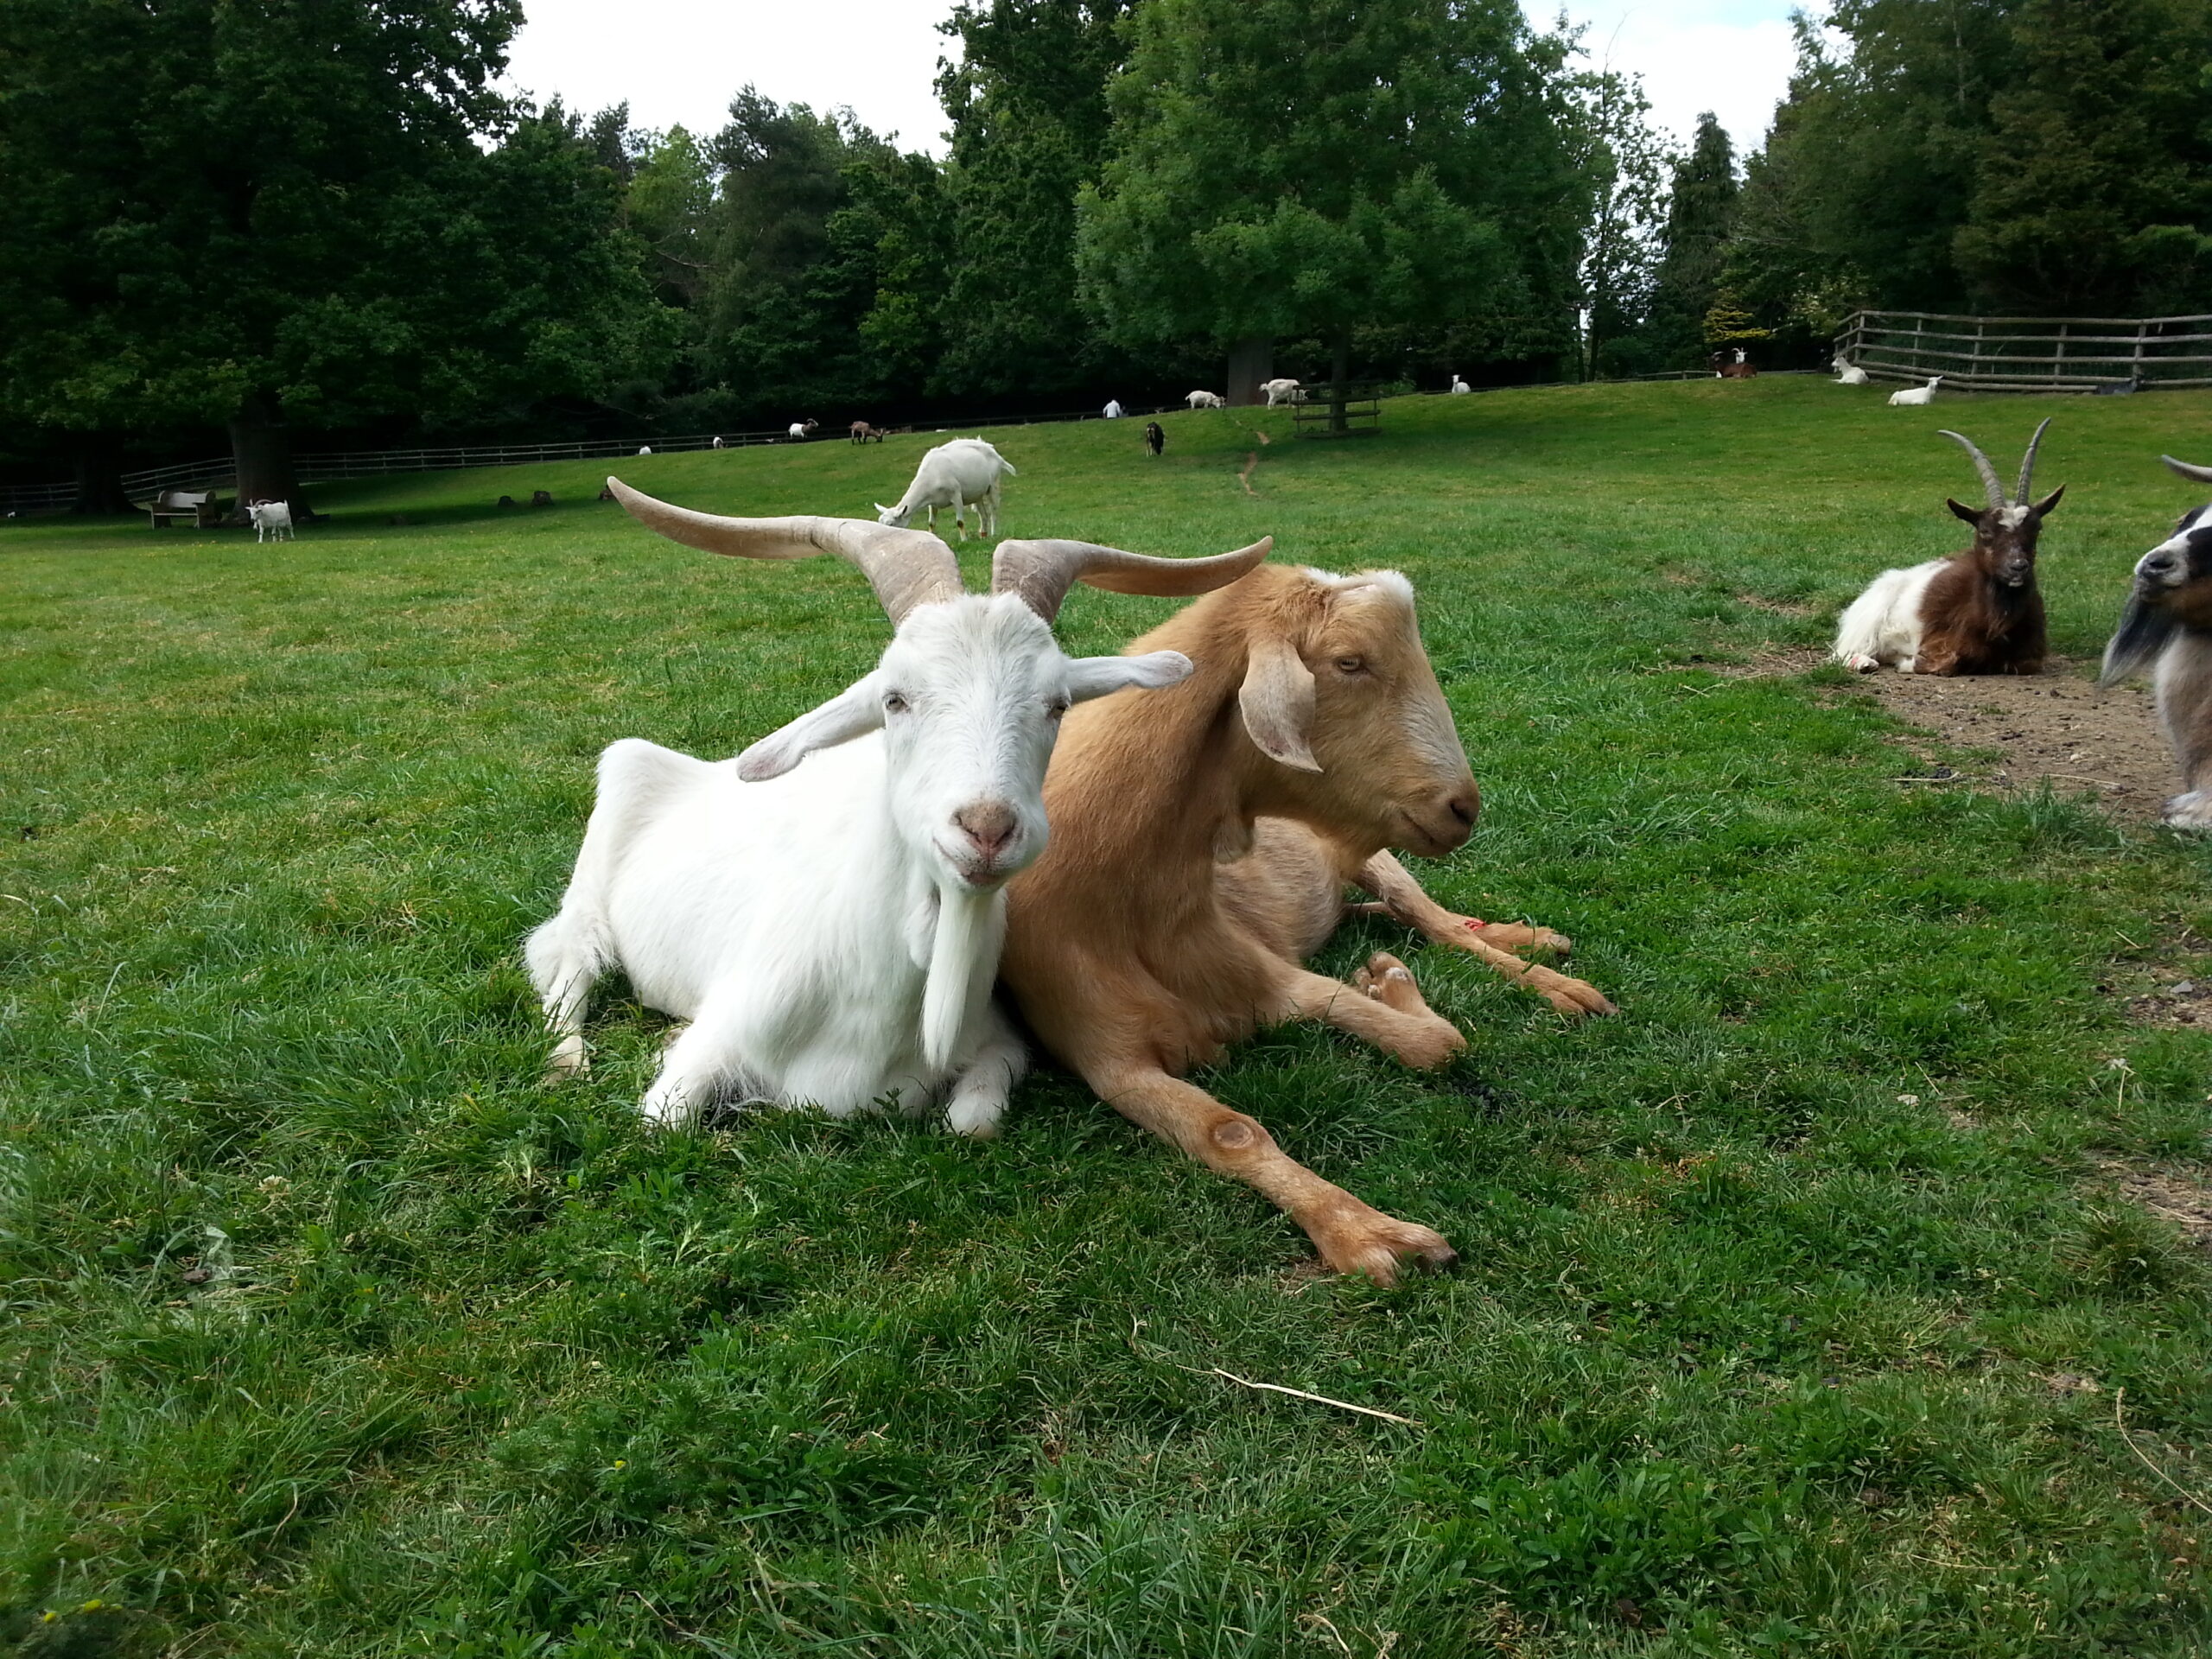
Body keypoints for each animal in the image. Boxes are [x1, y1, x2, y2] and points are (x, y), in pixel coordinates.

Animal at [524, 473, 1274, 1141]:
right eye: (895, 698)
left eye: (1058, 703)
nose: (987, 829)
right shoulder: (714, 1039)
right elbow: (664, 1123)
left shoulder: (997, 1042)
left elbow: (973, 1124)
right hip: (603, 847)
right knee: (566, 966)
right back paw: (566, 1061)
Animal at [880, 437, 1017, 542]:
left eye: (891, 524)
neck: (931, 475)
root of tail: (994, 452)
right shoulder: (932, 502)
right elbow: (931, 523)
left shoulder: (956, 495)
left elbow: (960, 522)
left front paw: (964, 540)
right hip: (977, 494)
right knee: (983, 514)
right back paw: (983, 535)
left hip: (993, 484)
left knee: (993, 511)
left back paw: (993, 534)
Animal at [1000, 559, 1610, 1282]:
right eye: (1350, 661)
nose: (1463, 808)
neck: (1135, 914)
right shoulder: (1109, 1059)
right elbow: (1230, 1132)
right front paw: (1367, 1233)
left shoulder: (1281, 980)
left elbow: (1437, 1045)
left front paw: (1394, 990)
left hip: (1378, 855)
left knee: (1430, 918)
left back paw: (1550, 971)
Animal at [1822, 424, 2061, 677]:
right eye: (1985, 532)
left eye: (2036, 529)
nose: (2018, 567)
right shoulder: (1938, 642)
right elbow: (1947, 662)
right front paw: (1905, 661)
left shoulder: (2031, 657)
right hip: (1871, 615)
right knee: (1843, 654)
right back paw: (1865, 663)